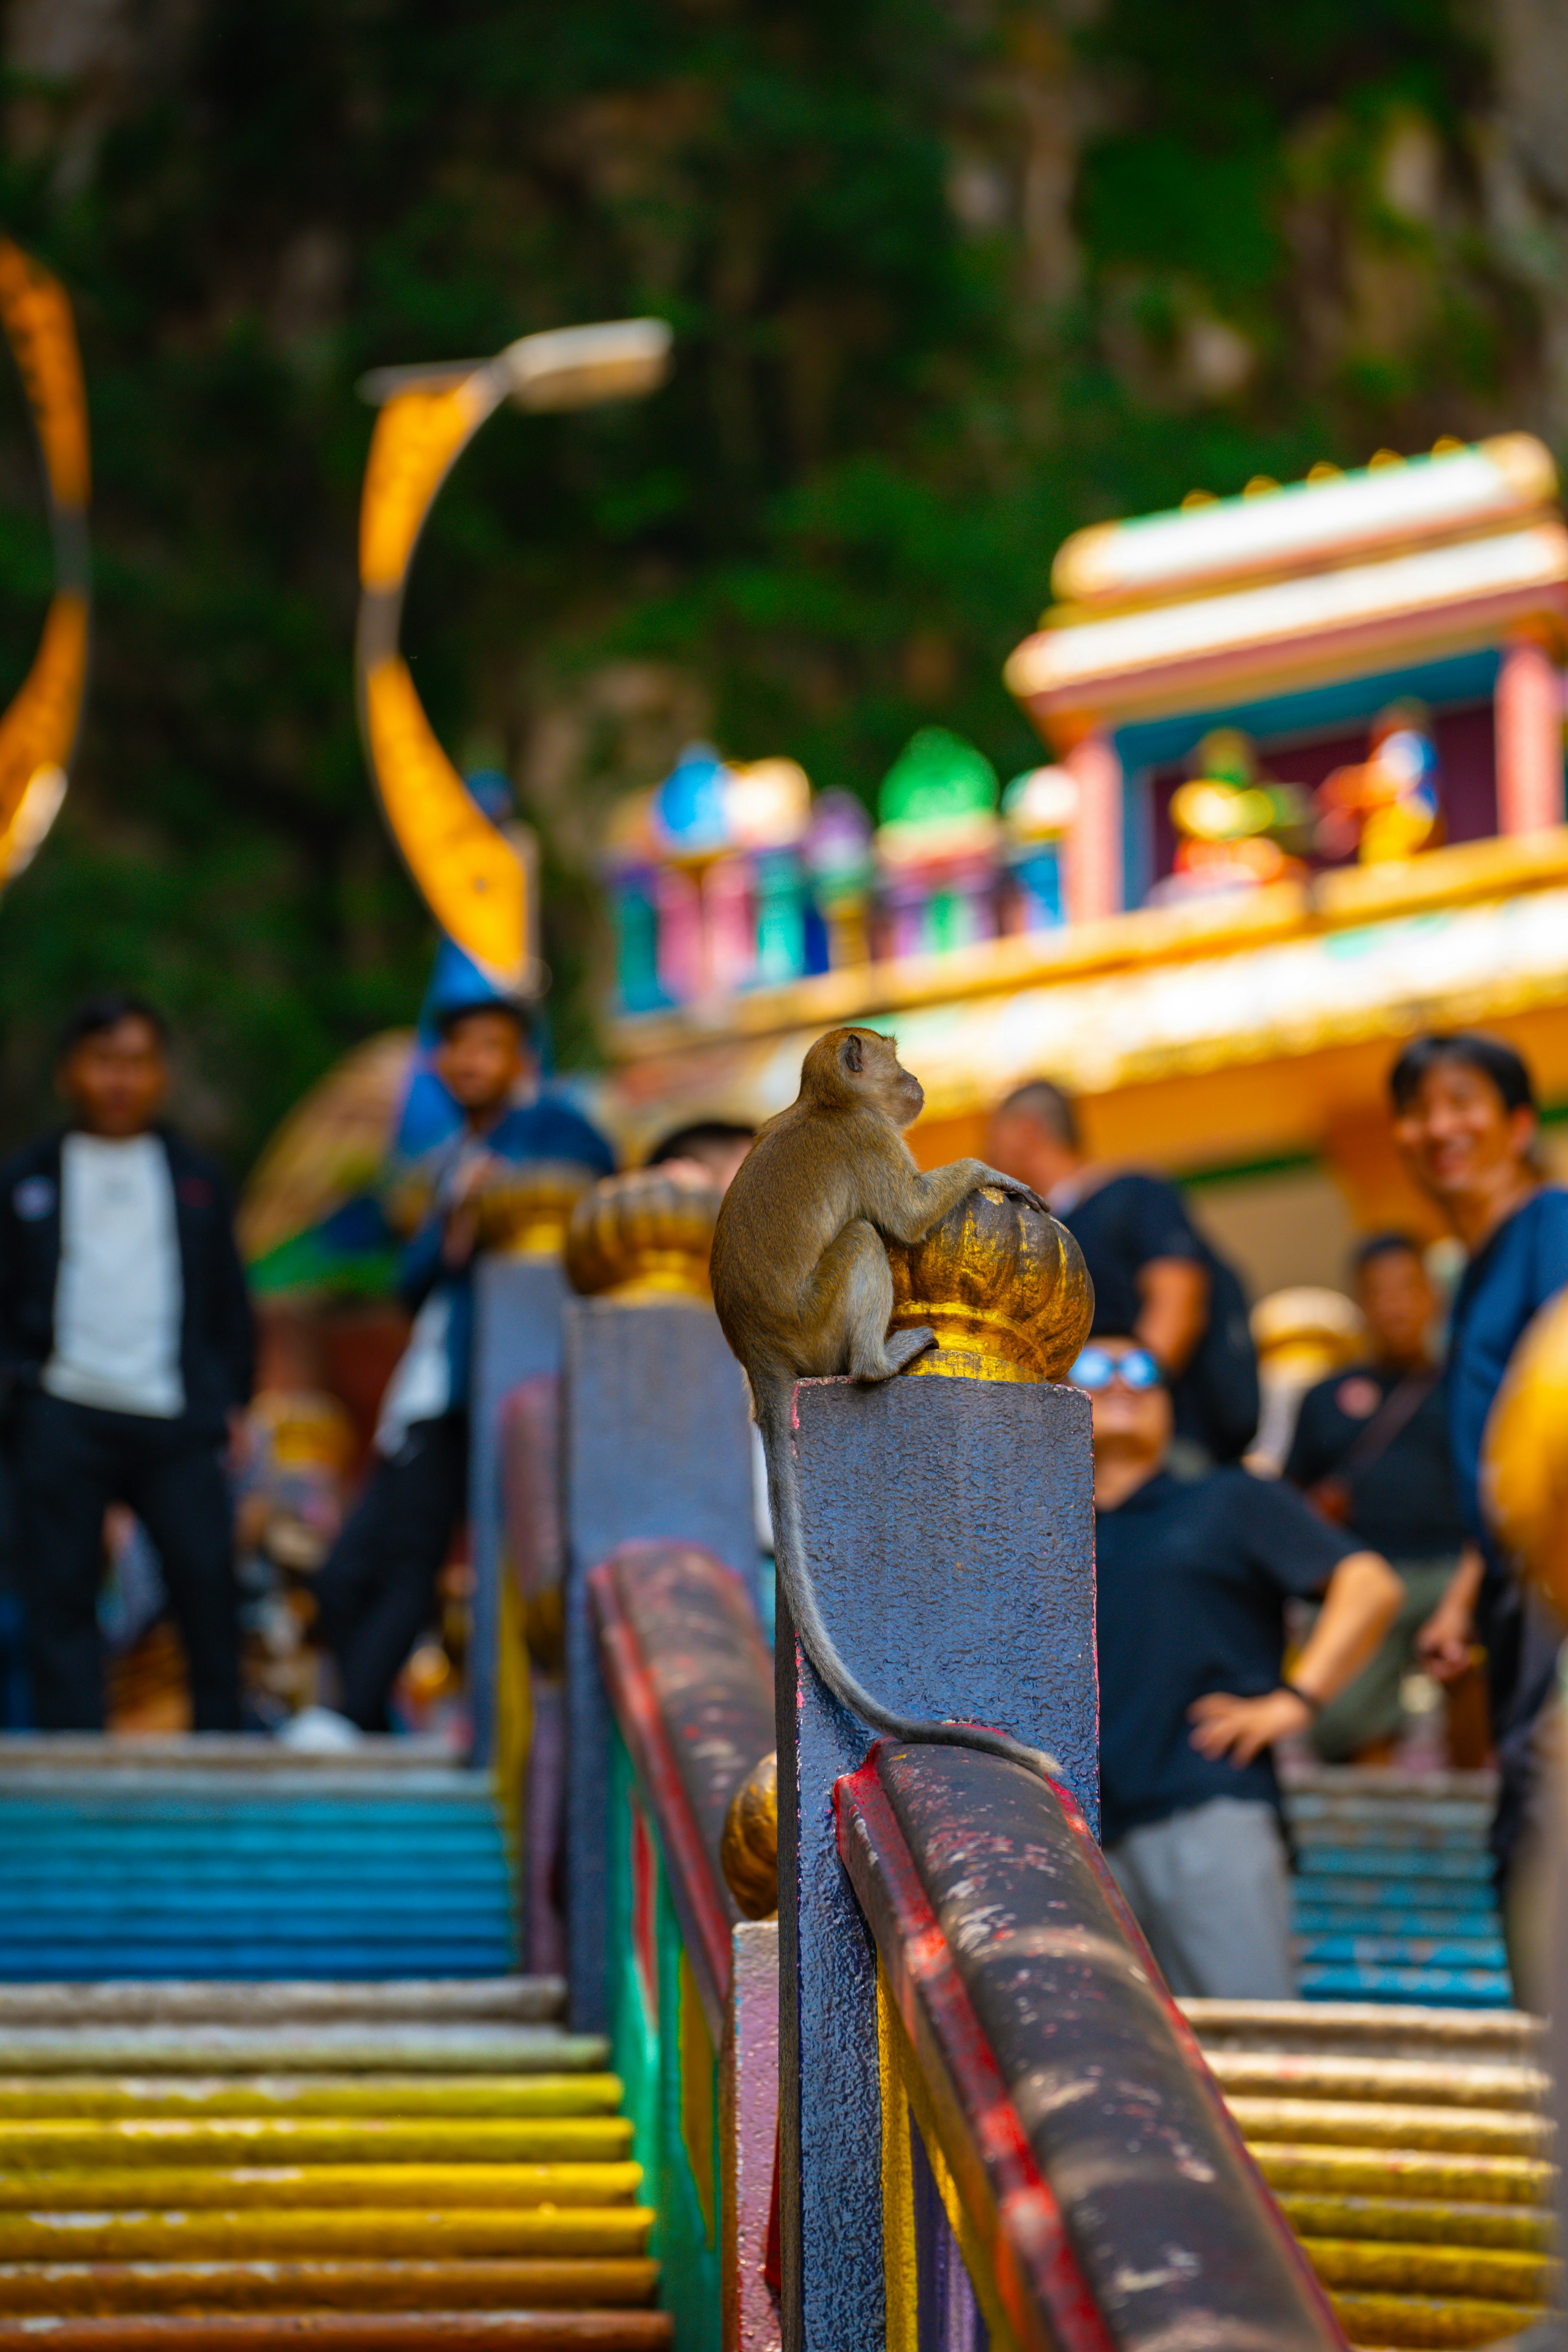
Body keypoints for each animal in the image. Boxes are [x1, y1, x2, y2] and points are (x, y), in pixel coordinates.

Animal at [715, 1030, 1062, 1778]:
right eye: (893, 1055)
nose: (915, 1077)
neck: (826, 1102)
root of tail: (759, 1357)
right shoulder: (871, 1139)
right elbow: (905, 1217)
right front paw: (992, 1172)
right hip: (817, 1324)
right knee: (863, 1237)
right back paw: (880, 1361)